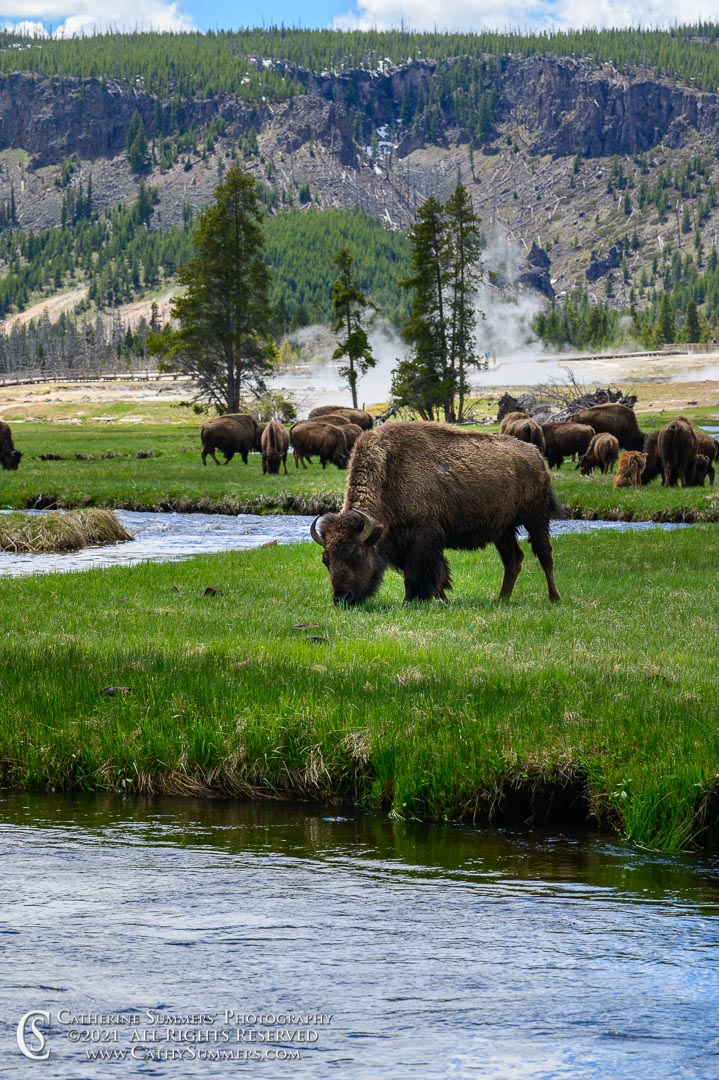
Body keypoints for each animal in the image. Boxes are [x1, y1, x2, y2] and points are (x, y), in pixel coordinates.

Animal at [311, 422, 564, 605]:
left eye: (356, 553)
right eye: (326, 559)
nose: (342, 598)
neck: (389, 474)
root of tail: (536, 455)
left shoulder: (423, 540)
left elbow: (419, 574)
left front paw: (412, 601)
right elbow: (437, 573)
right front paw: (442, 599)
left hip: (536, 519)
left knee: (545, 554)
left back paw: (554, 597)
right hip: (503, 530)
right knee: (513, 559)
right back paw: (501, 599)